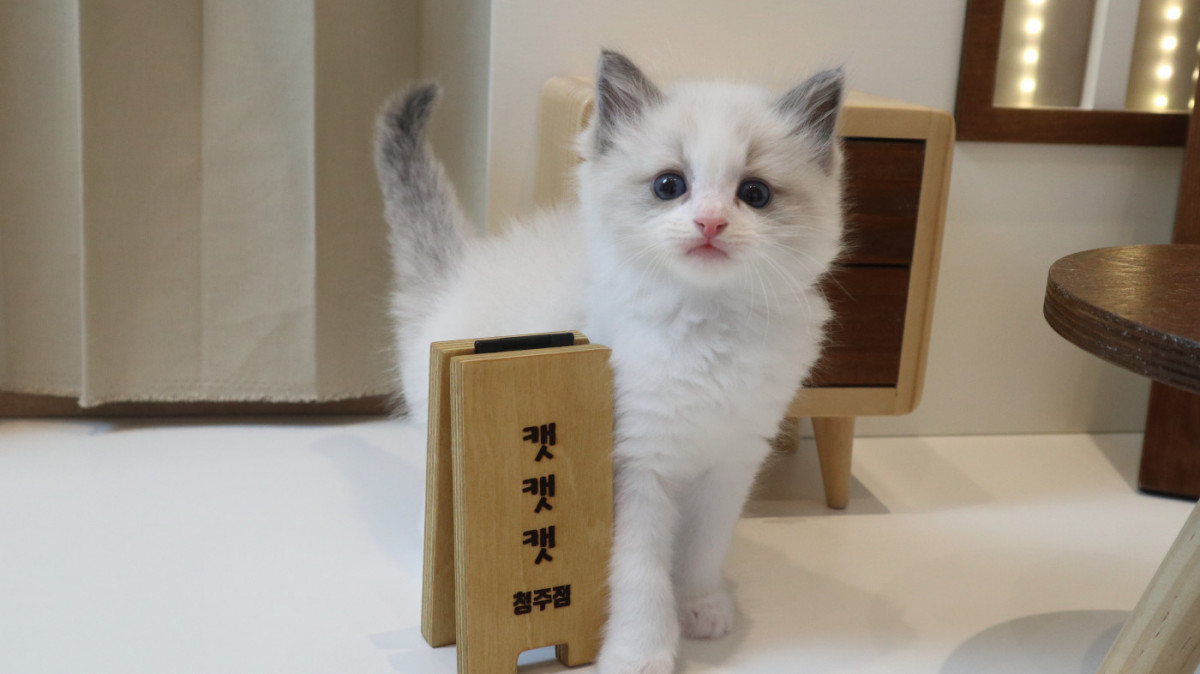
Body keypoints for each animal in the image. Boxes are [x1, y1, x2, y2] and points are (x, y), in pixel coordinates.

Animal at [375, 50, 844, 674]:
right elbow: (639, 571)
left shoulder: (731, 462)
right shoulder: (634, 467)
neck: (706, 325)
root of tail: (462, 268)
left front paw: (701, 606)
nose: (711, 223)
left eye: (755, 193)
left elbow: (704, 549)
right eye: (670, 185)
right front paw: (642, 651)